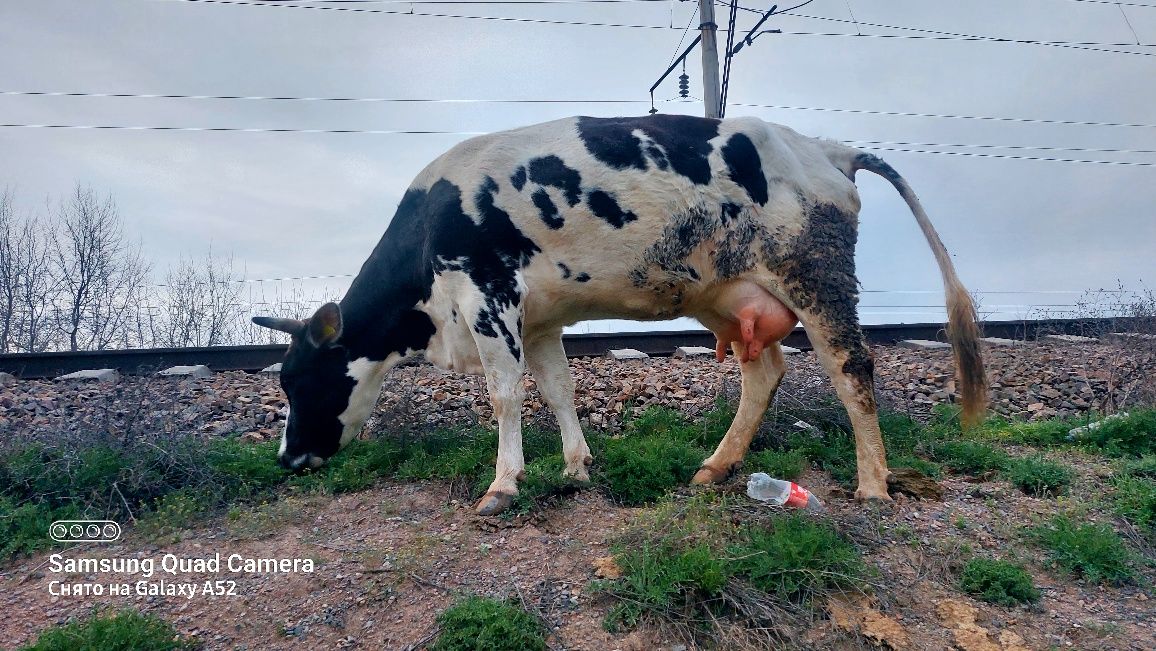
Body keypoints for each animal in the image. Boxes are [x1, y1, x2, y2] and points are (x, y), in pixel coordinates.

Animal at [255, 114, 984, 518]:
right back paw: (715, 467)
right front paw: (576, 467)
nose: (286, 459)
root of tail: (827, 149)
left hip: (816, 274)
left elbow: (505, 395)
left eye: (299, 380)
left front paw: (503, 484)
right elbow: (557, 389)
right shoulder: (540, 318)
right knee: (765, 372)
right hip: (733, 296)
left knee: (851, 366)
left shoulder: (489, 294)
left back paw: (873, 484)